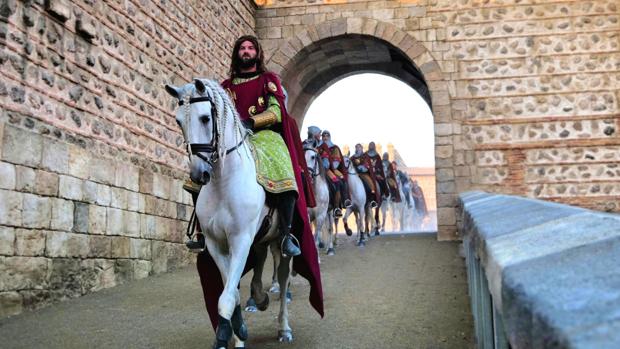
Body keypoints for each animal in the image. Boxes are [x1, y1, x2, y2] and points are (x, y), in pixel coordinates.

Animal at [167, 77, 296, 346]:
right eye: (178, 121)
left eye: (206, 118)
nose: (199, 174)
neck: (223, 184)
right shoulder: (217, 244)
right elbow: (231, 291)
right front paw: (237, 333)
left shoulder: (240, 240)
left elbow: (226, 297)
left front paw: (226, 337)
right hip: (259, 239)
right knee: (260, 260)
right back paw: (259, 298)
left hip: (281, 240)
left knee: (283, 276)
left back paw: (284, 328)